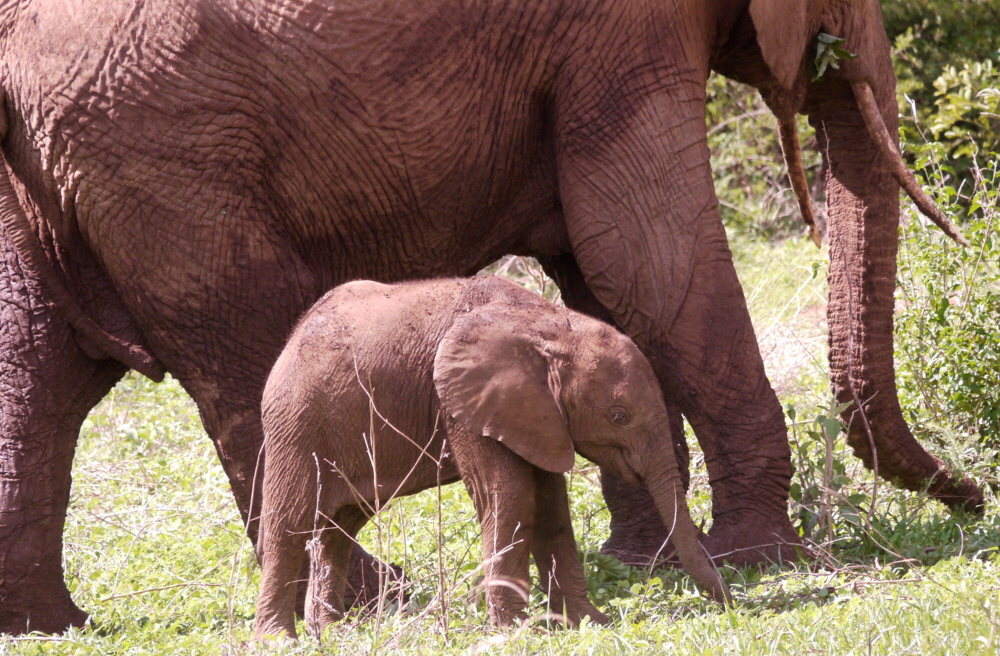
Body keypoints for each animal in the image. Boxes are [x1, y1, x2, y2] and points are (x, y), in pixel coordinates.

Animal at [254, 274, 732, 640]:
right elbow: (512, 494)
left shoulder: (538, 416)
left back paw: (332, 633)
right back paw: (280, 640)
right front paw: (517, 631)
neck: (549, 324)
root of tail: (295, 334)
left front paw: (588, 624)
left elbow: (551, 506)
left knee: (338, 526)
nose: (731, 603)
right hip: (296, 422)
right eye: (619, 416)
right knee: (288, 524)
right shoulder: (463, 402)